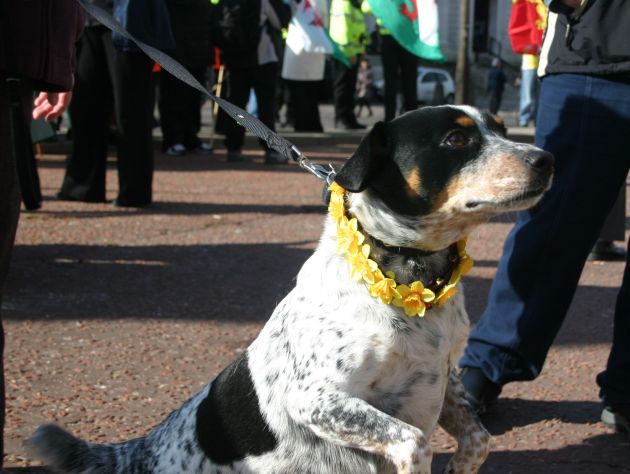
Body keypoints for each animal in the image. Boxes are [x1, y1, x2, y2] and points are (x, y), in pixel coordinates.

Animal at [27, 105, 556, 472]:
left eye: (501, 127)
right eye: (456, 138)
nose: (547, 159)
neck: (413, 279)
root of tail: (137, 452)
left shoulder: (444, 381)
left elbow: (479, 441)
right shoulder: (316, 399)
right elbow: (413, 440)